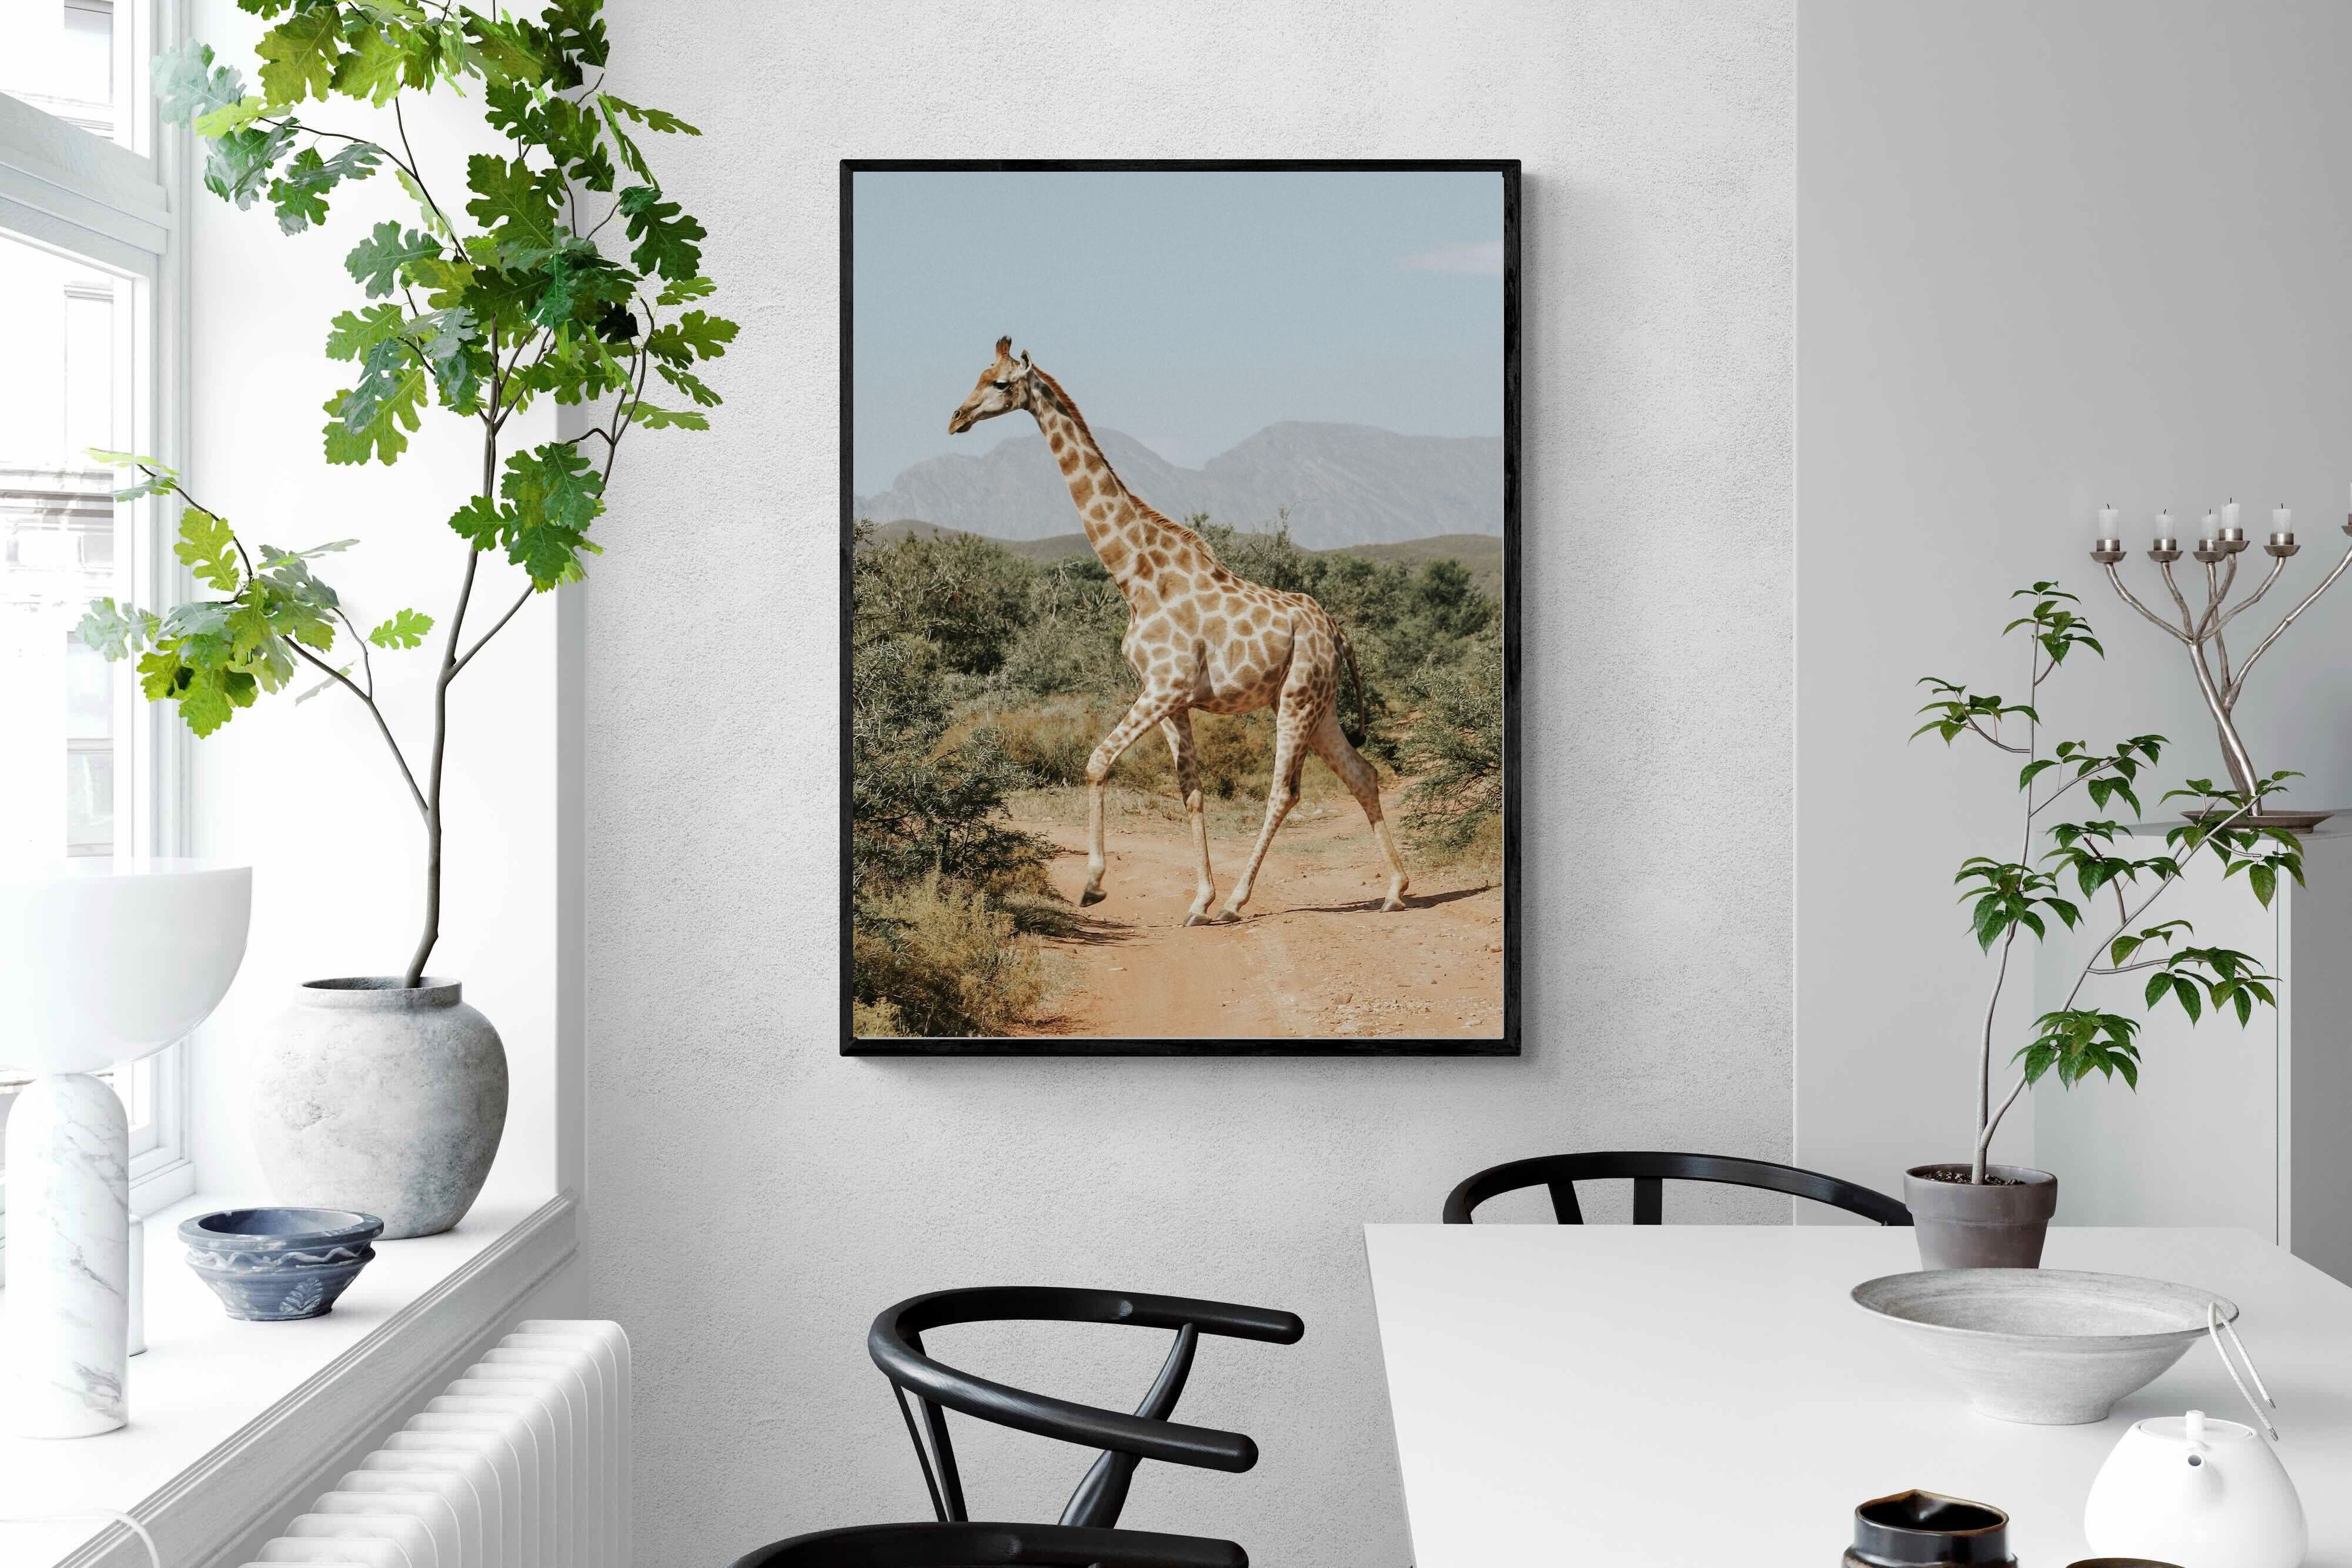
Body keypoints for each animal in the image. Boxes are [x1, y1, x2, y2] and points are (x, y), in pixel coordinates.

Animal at [948, 337, 1411, 926]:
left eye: (1002, 383)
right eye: (978, 375)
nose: (957, 419)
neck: (1136, 576)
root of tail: (1337, 632)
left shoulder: (1165, 687)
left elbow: (1097, 762)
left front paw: (1094, 884)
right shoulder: (1170, 698)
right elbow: (1191, 790)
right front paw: (1197, 900)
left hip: (1298, 698)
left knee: (1285, 791)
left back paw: (1239, 901)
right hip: (1320, 704)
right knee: (1363, 774)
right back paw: (1395, 888)